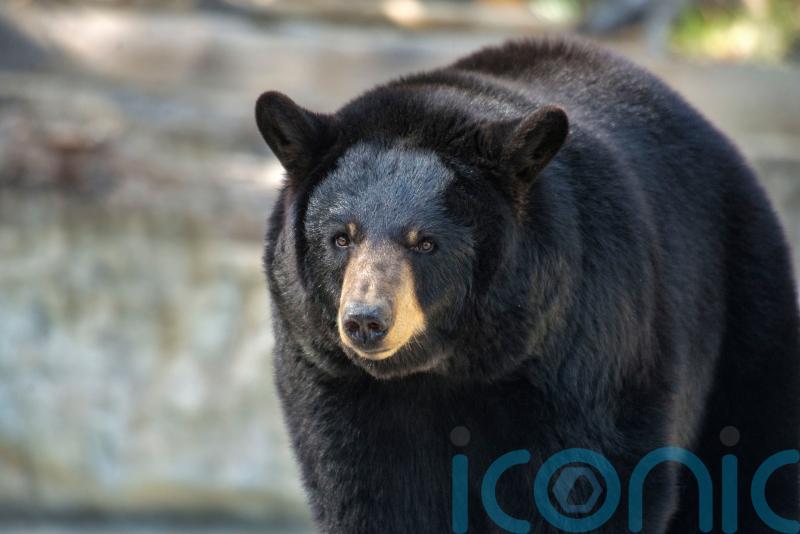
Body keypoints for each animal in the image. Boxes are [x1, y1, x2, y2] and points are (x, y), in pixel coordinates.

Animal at [255, 37, 799, 533]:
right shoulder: (332, 377)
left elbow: (591, 482)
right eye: (341, 237)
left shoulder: (585, 351)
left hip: (744, 306)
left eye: (425, 242)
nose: (367, 320)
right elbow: (371, 492)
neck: (451, 367)